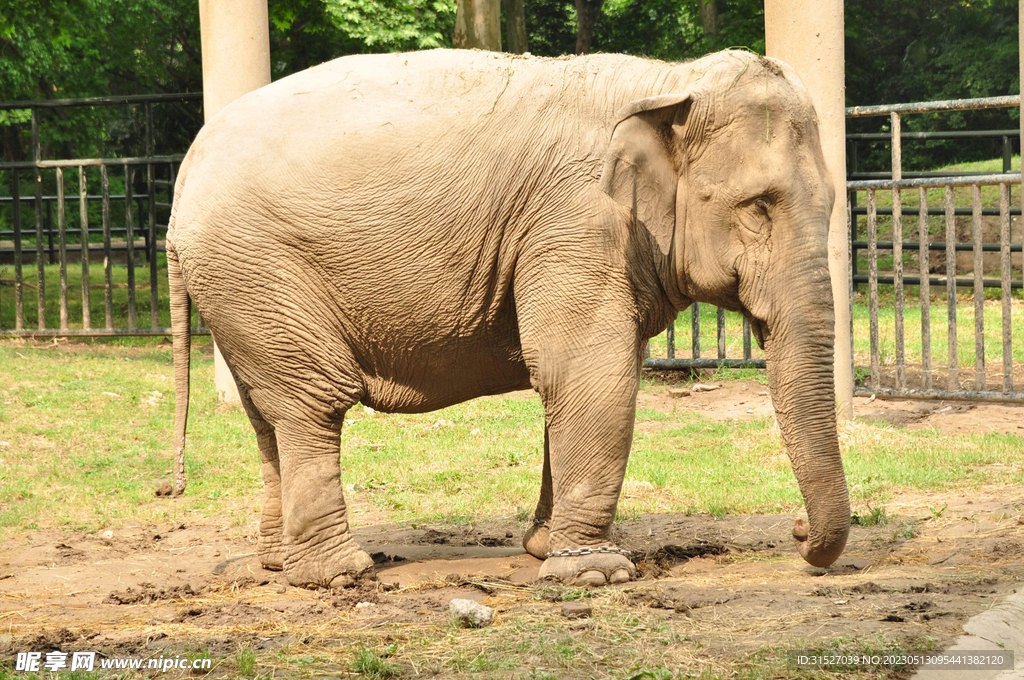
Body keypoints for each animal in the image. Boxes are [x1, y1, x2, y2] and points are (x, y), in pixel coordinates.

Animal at [167, 49, 851, 589]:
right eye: (757, 207)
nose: (796, 533)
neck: (668, 81)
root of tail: (183, 176)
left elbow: (575, 380)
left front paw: (547, 551)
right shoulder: (576, 219)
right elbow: (588, 372)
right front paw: (594, 573)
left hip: (239, 291)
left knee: (266, 415)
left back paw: (276, 565)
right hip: (258, 271)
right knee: (310, 404)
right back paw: (338, 575)